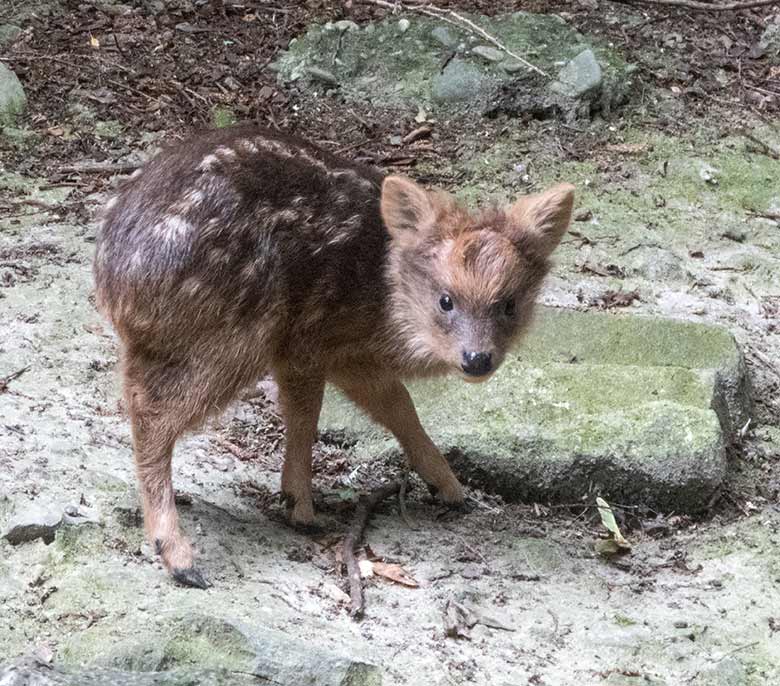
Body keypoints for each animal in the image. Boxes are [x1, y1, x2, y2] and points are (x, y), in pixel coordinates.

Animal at [94, 123, 576, 584]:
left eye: (509, 303)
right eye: (445, 300)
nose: (477, 359)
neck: (383, 294)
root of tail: (114, 279)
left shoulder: (349, 357)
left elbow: (398, 406)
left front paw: (450, 488)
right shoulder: (307, 341)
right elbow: (309, 415)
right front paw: (302, 509)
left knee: (135, 394)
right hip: (234, 335)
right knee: (152, 416)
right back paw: (180, 558)